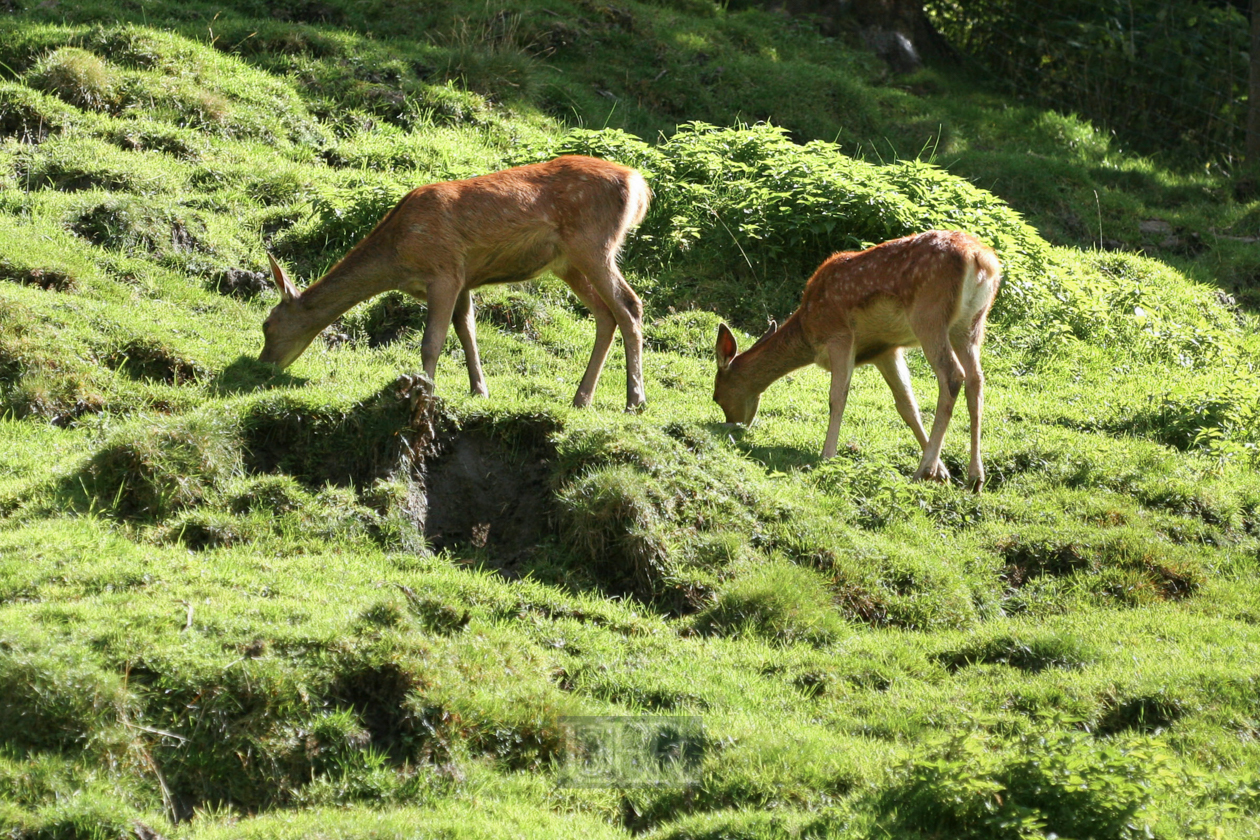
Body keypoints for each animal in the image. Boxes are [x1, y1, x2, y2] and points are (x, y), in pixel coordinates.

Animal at [255, 156, 650, 410]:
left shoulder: (444, 271)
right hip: (567, 263)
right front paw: (479, 391)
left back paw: (635, 400)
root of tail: (638, 184)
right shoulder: (463, 279)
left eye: (267, 325)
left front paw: (424, 390)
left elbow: (432, 342)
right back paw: (581, 398)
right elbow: (467, 332)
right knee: (606, 314)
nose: (263, 364)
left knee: (630, 305)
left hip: (593, 244)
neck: (397, 258)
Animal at [715, 230, 997, 493]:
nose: (733, 426)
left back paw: (923, 471)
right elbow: (907, 405)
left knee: (952, 375)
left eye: (717, 396)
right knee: (976, 380)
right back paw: (975, 478)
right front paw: (944, 473)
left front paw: (827, 455)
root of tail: (981, 259)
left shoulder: (839, 335)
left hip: (930, 314)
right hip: (970, 326)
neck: (807, 329)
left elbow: (837, 396)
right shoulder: (884, 350)